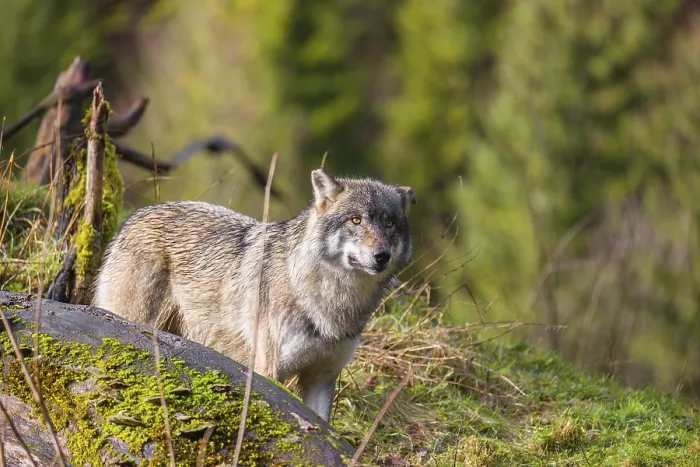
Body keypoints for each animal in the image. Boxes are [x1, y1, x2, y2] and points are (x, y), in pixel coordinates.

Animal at [92, 168, 415, 422]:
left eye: (389, 223)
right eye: (356, 220)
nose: (381, 256)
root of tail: (134, 217)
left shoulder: (321, 378)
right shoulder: (268, 371)